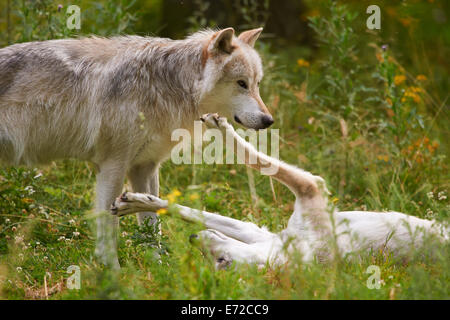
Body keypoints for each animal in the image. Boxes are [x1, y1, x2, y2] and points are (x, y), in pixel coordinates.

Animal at [0, 28, 272, 268]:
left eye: (257, 84)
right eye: (241, 83)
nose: (269, 120)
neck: (165, 87)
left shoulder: (144, 168)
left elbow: (152, 226)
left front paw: (158, 271)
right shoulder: (112, 167)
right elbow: (109, 232)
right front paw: (112, 274)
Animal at [110, 114, 448, 268]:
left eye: (222, 262)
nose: (194, 241)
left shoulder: (311, 185)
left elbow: (256, 159)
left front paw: (222, 127)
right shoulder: (260, 231)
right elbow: (186, 211)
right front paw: (133, 202)